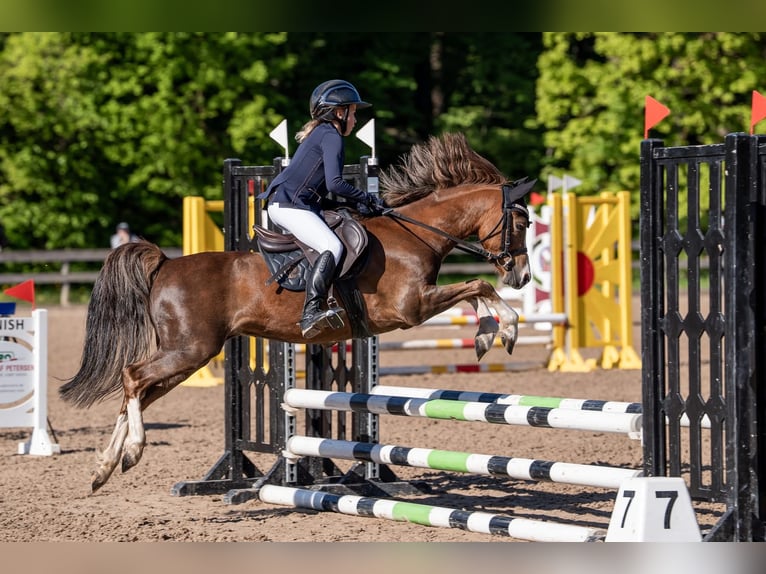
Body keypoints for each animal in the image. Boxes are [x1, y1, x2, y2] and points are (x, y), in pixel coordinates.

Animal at [59, 132, 534, 493]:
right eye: (522, 222)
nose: (523, 275)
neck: (415, 234)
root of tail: (165, 264)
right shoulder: (410, 308)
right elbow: (478, 285)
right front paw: (503, 331)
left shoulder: (419, 302)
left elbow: (475, 290)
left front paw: (489, 334)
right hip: (189, 350)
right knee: (132, 378)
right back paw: (131, 452)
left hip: (187, 357)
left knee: (137, 393)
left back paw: (104, 468)